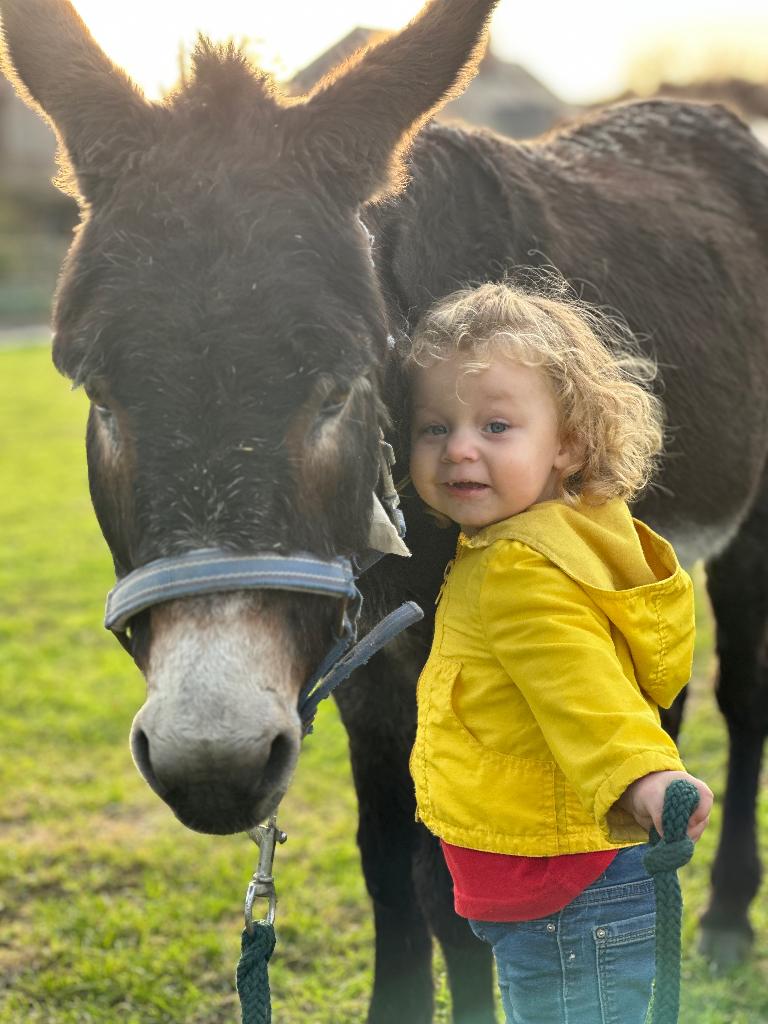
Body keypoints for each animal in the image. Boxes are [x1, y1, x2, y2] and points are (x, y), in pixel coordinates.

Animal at [2, 1, 767, 1021]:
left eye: (339, 386)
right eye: (98, 390)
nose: (213, 762)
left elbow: (454, 891)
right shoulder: (366, 666)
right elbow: (391, 872)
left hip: (753, 529)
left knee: (744, 699)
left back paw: (720, 916)